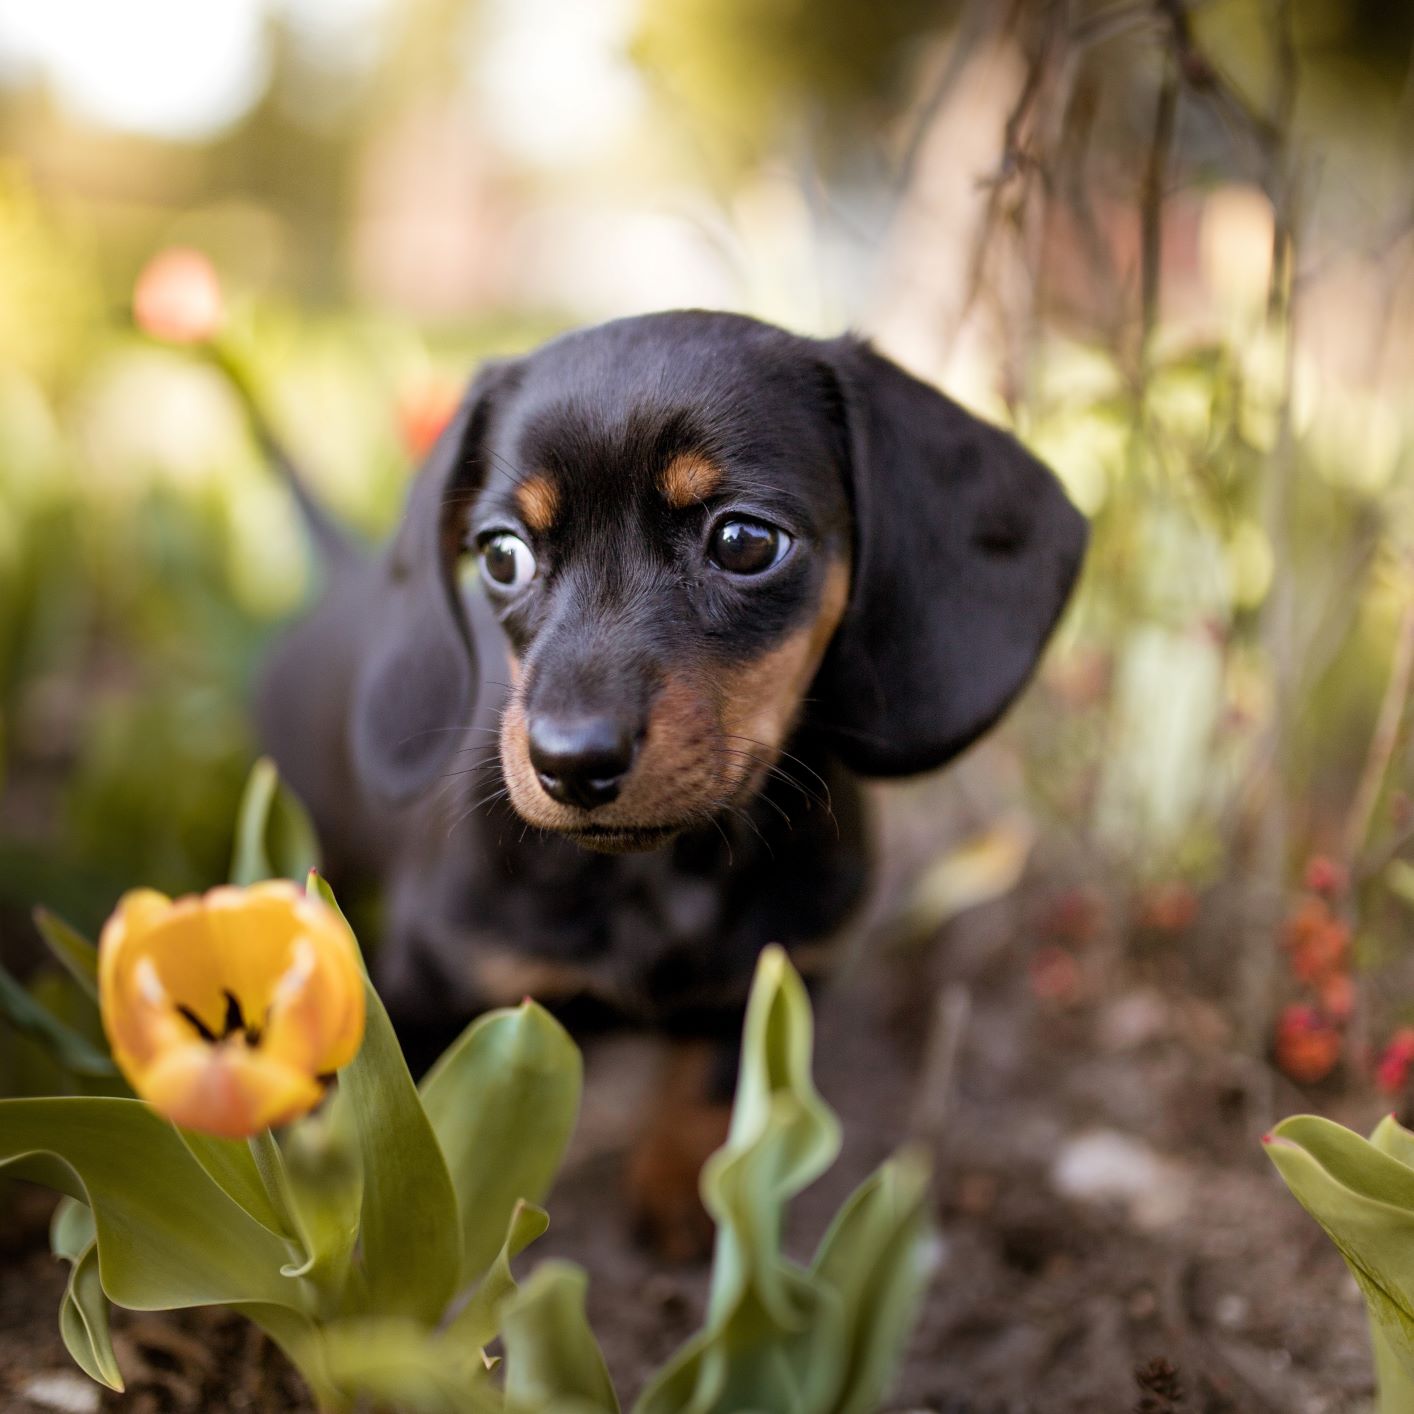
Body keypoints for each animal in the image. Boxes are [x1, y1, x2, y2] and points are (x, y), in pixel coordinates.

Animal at [260, 306, 1085, 1249]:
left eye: (746, 541)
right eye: (501, 555)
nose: (570, 761)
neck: (659, 876)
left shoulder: (777, 971)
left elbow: (708, 1088)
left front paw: (688, 1207)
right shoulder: (429, 984)